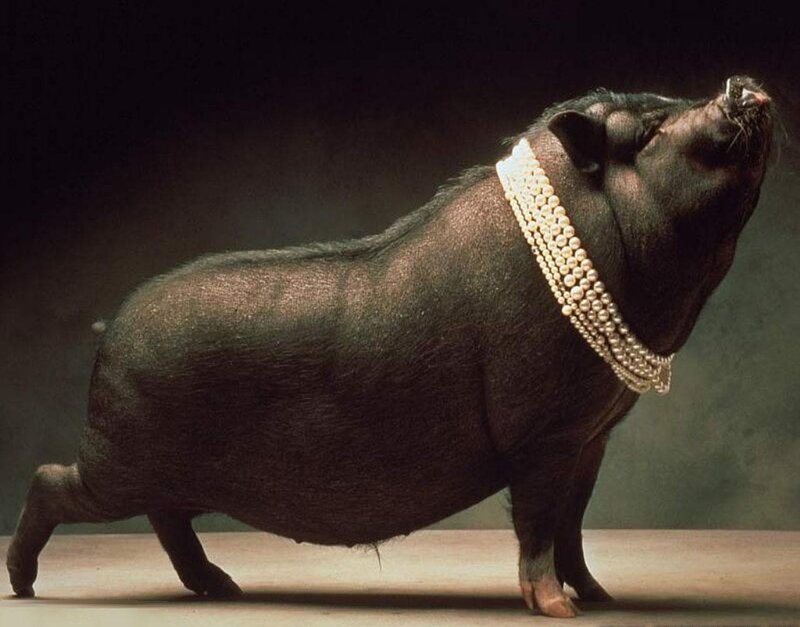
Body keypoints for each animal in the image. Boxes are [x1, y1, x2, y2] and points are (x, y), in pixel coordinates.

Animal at [7, 76, 773, 618]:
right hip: (120, 457)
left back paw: (223, 588)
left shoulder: (591, 437)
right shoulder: (543, 436)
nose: (742, 82)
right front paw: (558, 608)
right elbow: (537, 522)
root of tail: (112, 328)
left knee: (167, 520)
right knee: (49, 480)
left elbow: (574, 526)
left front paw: (599, 596)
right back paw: (25, 587)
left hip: (154, 469)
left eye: (666, 103)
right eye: (646, 130)